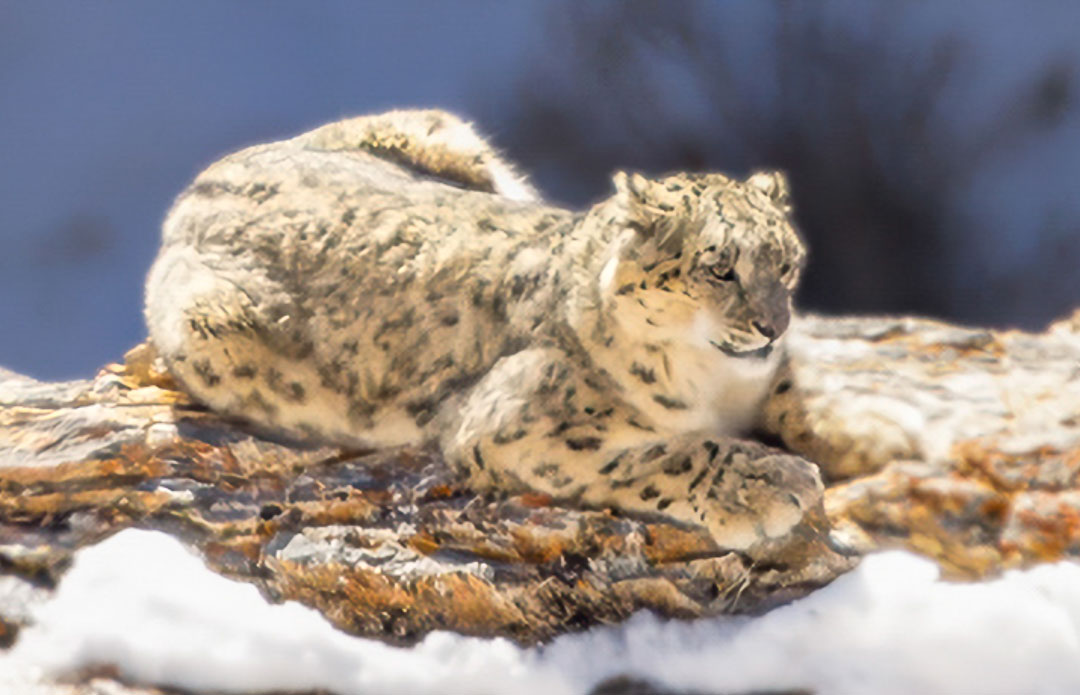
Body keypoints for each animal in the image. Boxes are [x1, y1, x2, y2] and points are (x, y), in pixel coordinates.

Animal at [144, 109, 819, 550]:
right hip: (208, 326)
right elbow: (669, 452)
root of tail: (201, 183)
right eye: (720, 267)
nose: (772, 326)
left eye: (786, 261)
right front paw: (770, 484)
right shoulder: (519, 424)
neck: (719, 385)